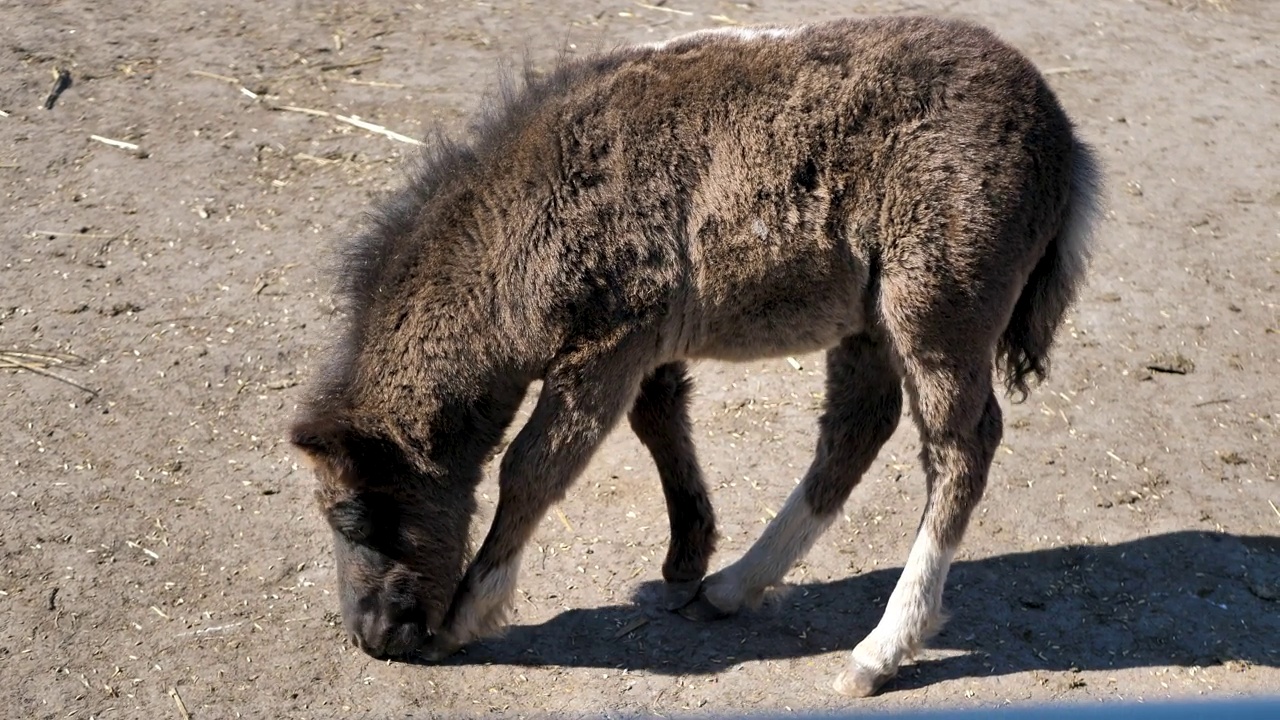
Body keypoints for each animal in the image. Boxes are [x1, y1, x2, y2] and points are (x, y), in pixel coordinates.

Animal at [290, 14, 1100, 691]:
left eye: (355, 517)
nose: (374, 637)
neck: (521, 221)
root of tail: (1065, 136)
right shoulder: (645, 345)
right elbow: (661, 423)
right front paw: (689, 554)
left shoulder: (608, 347)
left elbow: (533, 468)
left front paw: (468, 611)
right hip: (869, 323)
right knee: (857, 430)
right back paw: (736, 586)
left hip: (934, 309)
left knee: (960, 447)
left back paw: (879, 650)